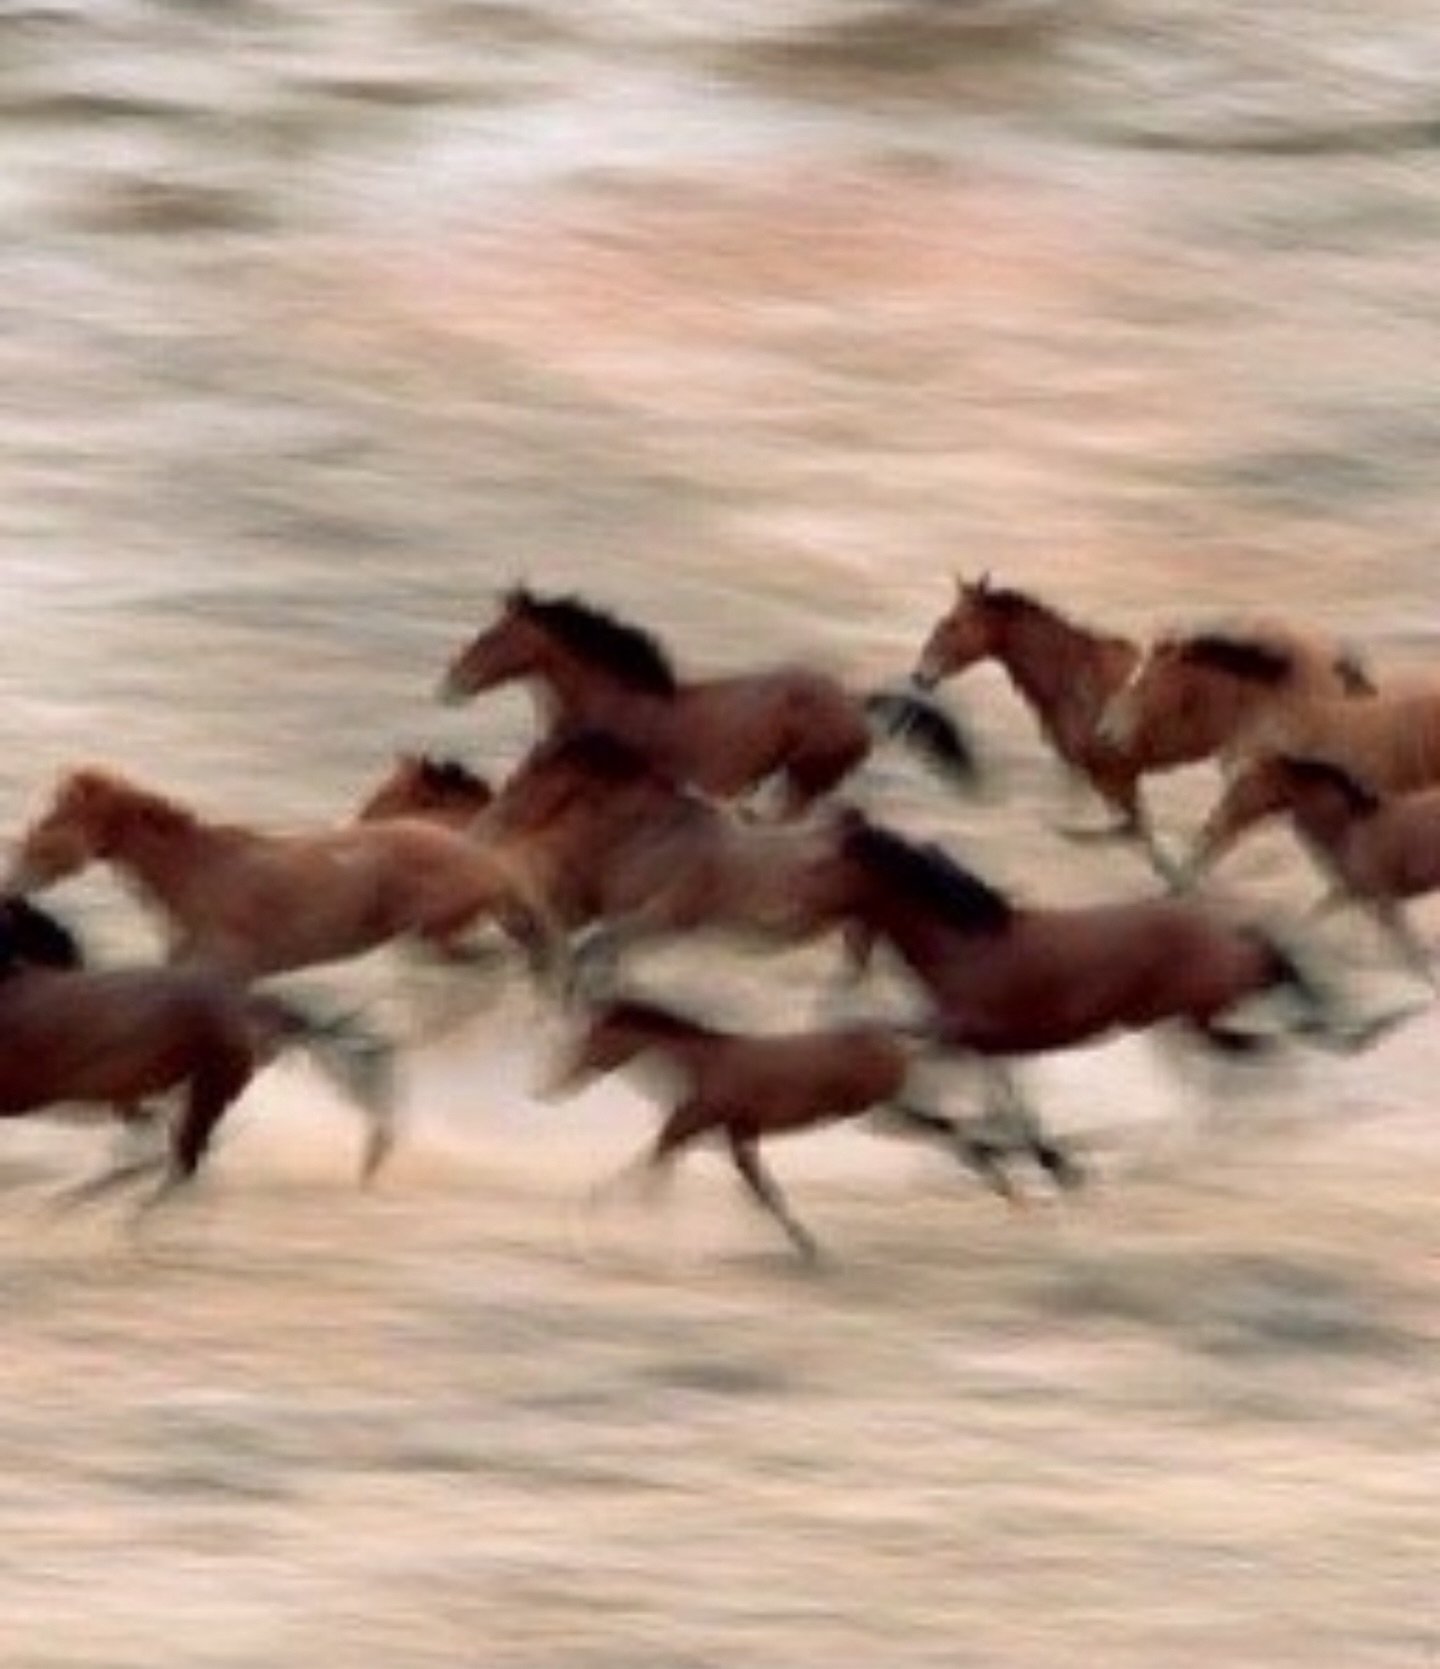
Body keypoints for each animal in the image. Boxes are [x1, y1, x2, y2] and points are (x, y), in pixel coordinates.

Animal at [546, 997, 1064, 1262]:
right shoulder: (733, 1134)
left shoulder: (691, 1125)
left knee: (950, 1128)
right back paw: (1016, 1182)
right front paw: (808, 1246)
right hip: (881, 1108)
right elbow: (760, 1190)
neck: (704, 1064)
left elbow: (648, 1169)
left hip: (879, 1106)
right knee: (952, 1128)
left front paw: (596, 1222)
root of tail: (893, 1036)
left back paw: (1017, 1184)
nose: (557, 1084)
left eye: (596, 1040)